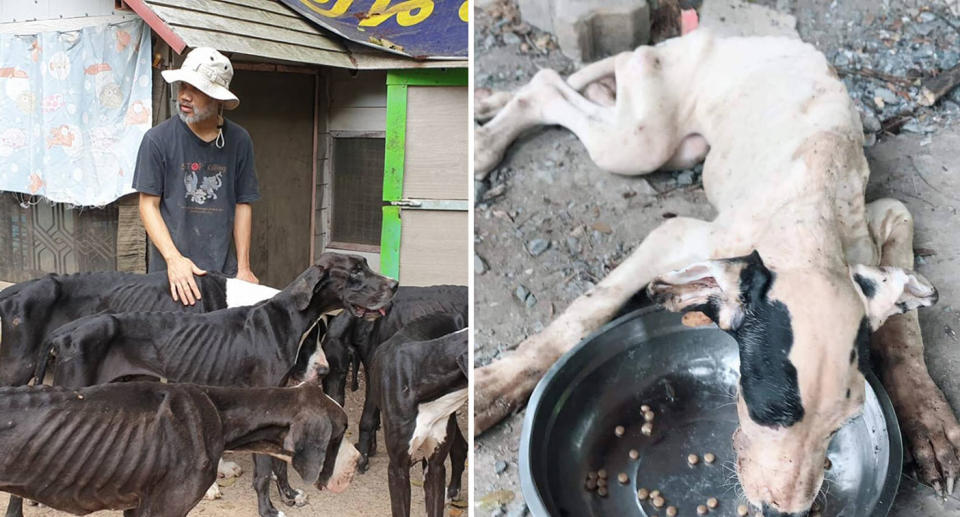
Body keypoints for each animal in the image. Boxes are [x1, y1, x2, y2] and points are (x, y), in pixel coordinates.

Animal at [474, 29, 960, 516]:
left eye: (844, 423)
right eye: (767, 411)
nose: (783, 511)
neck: (809, 221)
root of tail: (718, 35)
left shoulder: (884, 220)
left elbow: (904, 334)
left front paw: (929, 419)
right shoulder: (677, 236)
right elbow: (586, 313)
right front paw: (494, 386)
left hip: (672, 143)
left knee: (579, 92)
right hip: (639, 142)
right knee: (548, 86)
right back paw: (485, 145)